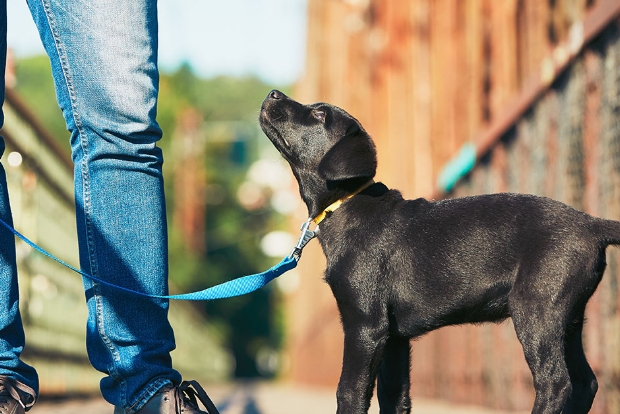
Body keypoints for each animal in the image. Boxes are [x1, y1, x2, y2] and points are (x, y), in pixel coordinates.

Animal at [258, 90, 620, 414]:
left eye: (320, 114)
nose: (273, 93)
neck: (346, 204)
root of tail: (591, 223)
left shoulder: (365, 324)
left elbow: (349, 392)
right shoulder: (393, 338)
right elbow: (394, 398)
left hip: (537, 310)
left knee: (556, 384)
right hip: (568, 318)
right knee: (585, 383)